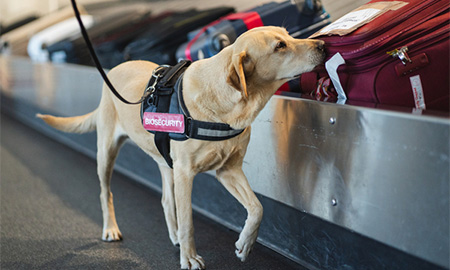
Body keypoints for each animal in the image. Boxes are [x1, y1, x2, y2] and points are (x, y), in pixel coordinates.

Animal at [35, 25, 324, 270]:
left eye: (288, 34)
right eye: (280, 46)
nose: (321, 44)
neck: (224, 102)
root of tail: (115, 68)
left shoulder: (228, 171)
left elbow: (257, 208)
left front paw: (244, 244)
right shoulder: (186, 173)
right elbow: (188, 223)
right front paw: (190, 258)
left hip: (166, 164)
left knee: (166, 200)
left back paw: (173, 235)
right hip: (107, 153)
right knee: (106, 193)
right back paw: (110, 229)